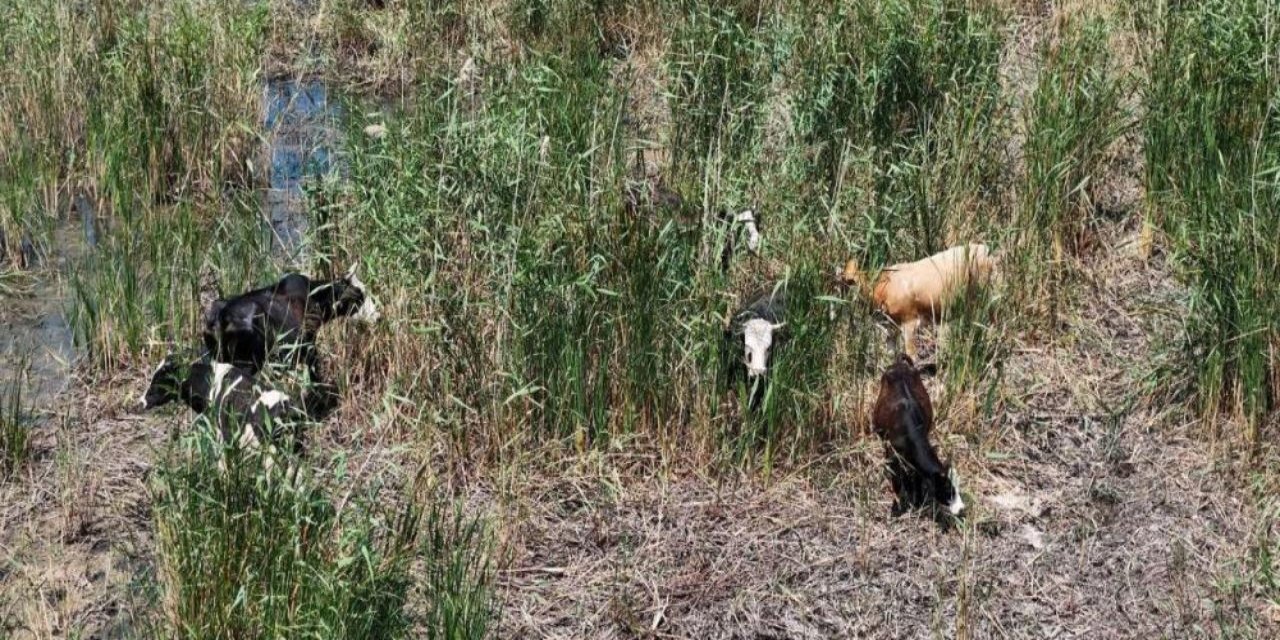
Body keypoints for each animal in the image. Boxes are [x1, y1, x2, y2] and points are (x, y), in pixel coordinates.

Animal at [844, 241, 993, 358]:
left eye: (849, 281)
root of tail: (984, 248)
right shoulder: (891, 327)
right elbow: (891, 355)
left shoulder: (910, 321)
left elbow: (912, 355)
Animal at [875, 353, 962, 517]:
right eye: (948, 490)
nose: (961, 509)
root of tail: (899, 364)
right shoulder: (893, 456)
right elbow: (896, 481)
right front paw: (897, 507)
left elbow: (917, 477)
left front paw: (918, 501)